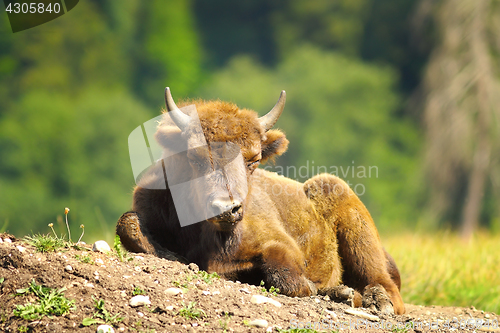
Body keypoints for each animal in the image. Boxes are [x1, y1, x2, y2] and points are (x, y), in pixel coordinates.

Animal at [118, 87, 406, 312]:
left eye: (254, 160)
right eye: (194, 157)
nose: (227, 209)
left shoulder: (280, 244)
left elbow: (283, 272)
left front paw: (320, 288)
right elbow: (129, 226)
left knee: (384, 284)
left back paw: (373, 301)